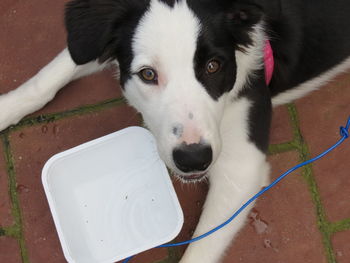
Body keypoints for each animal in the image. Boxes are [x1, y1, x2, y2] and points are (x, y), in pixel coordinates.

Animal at [0, 0, 350, 262]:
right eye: (148, 74)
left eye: (213, 66)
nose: (193, 159)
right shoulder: (92, 39)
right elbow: (58, 69)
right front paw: (5, 109)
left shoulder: (242, 168)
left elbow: (200, 252)